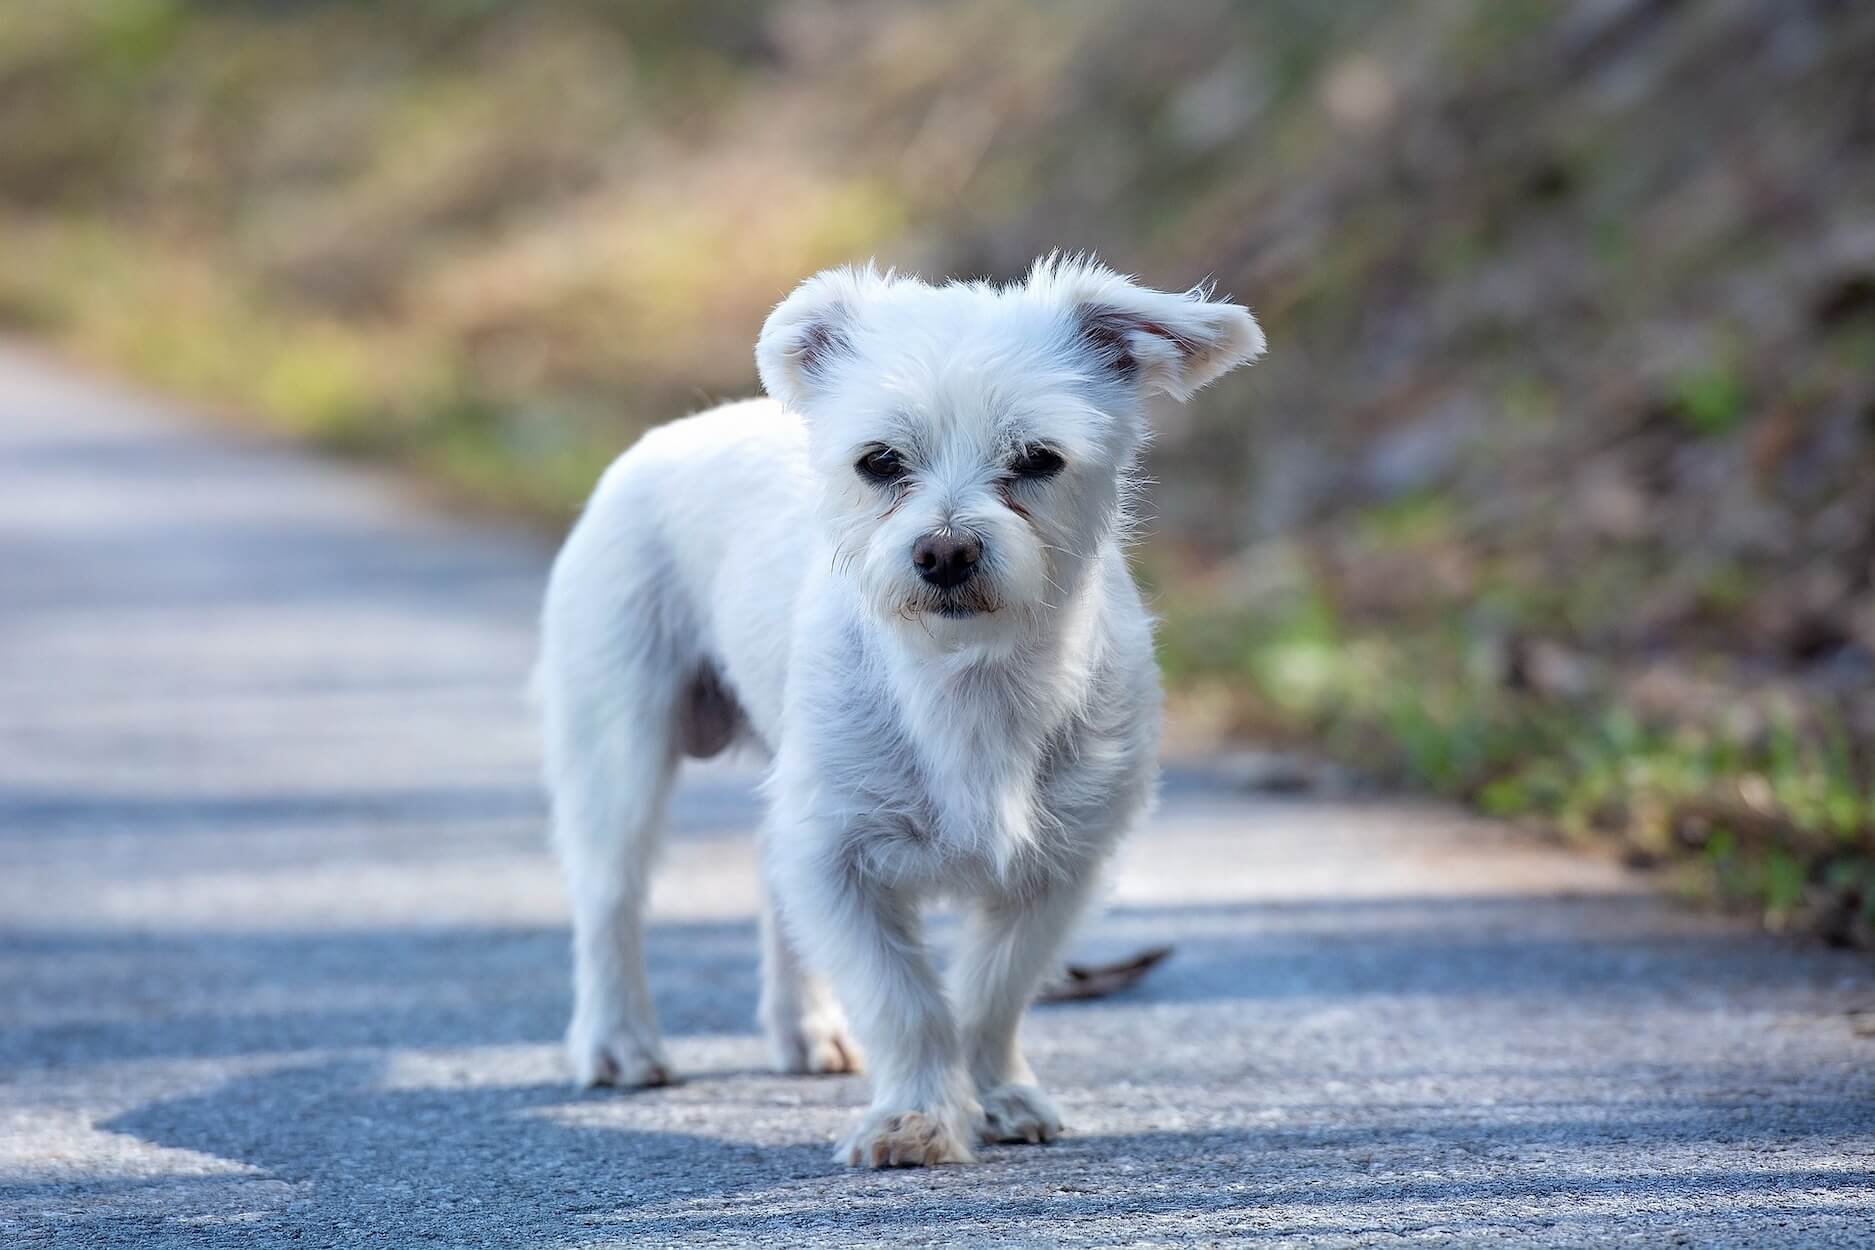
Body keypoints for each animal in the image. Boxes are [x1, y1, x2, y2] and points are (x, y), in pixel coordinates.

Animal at [540, 254, 1260, 1161]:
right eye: (879, 461)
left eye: (1038, 458)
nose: (944, 551)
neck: (967, 679)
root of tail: (672, 435)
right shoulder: (837, 859)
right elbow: (905, 1000)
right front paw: (916, 1117)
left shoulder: (1061, 864)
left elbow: (989, 992)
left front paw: (997, 1095)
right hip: (618, 748)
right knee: (610, 899)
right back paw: (618, 1043)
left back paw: (804, 1031)